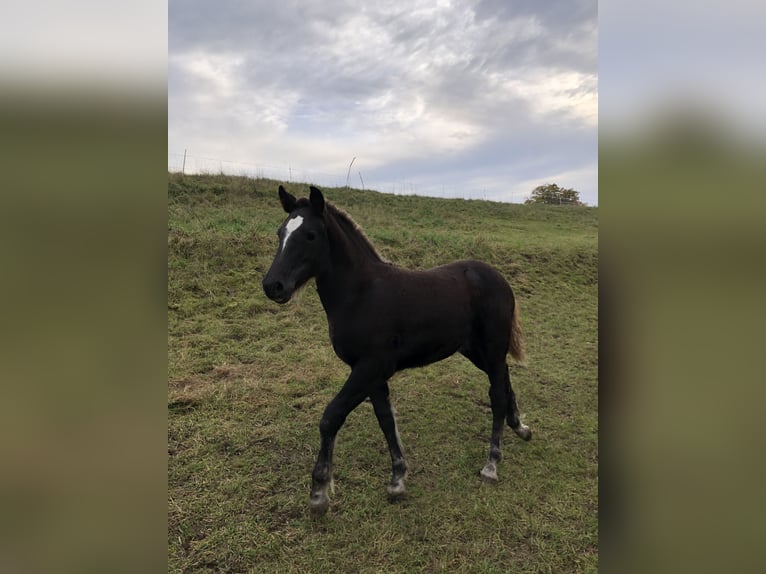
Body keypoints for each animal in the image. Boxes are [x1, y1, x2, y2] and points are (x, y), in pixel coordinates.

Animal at [262, 185, 532, 516]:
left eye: (310, 235)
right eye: (280, 233)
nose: (273, 285)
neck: (361, 294)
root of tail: (498, 277)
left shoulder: (369, 367)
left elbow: (331, 417)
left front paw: (319, 493)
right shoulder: (372, 375)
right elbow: (385, 420)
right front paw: (398, 479)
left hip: (492, 347)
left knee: (496, 394)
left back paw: (492, 463)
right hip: (475, 350)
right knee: (505, 379)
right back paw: (520, 427)